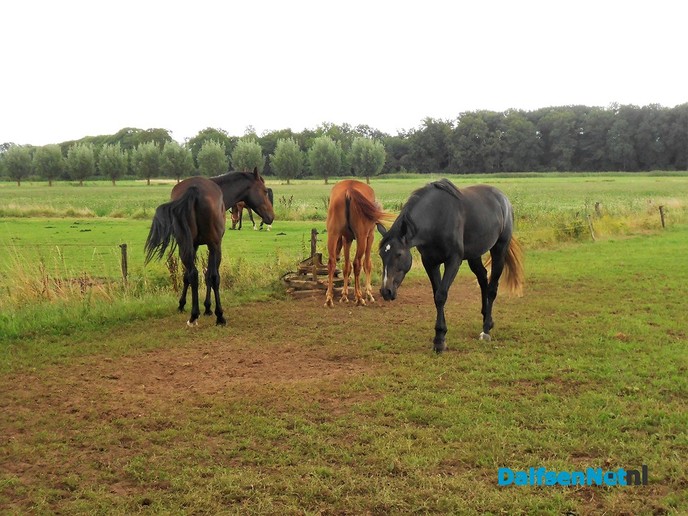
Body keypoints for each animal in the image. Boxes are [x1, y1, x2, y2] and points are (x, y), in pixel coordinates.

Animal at [145, 168, 274, 326]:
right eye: (264, 191)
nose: (271, 216)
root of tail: (194, 189)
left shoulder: (193, 246)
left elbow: (189, 276)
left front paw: (184, 305)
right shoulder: (214, 246)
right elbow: (210, 276)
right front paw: (210, 308)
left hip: (185, 247)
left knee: (193, 274)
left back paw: (193, 315)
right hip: (214, 246)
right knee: (213, 277)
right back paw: (219, 316)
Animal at [378, 179, 524, 353]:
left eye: (399, 254)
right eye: (381, 254)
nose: (386, 291)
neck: (437, 217)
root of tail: (503, 199)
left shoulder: (453, 261)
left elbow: (441, 295)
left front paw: (439, 340)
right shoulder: (430, 262)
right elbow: (436, 296)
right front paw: (439, 337)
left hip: (499, 250)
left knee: (492, 287)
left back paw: (486, 329)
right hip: (474, 255)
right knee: (482, 278)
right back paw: (485, 318)